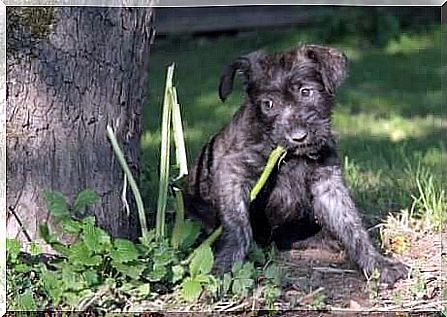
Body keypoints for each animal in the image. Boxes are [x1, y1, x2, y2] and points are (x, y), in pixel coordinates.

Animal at [184, 43, 408, 284]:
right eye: (268, 104)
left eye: (306, 92)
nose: (298, 137)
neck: (291, 156)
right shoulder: (233, 171)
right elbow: (238, 226)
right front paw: (226, 265)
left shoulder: (328, 183)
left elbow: (352, 224)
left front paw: (377, 264)